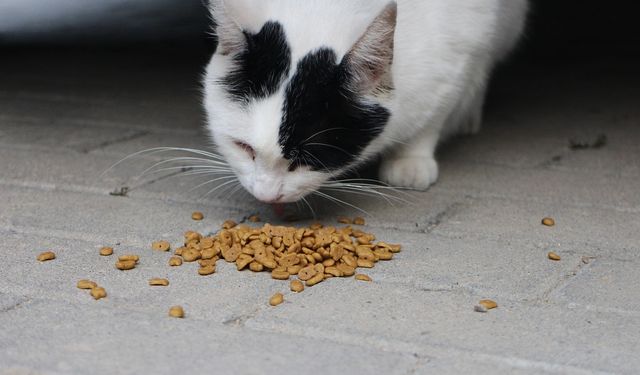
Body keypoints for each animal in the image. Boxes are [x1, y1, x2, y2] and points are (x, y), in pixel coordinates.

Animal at [202, 0, 528, 204]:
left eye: (306, 160)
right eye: (243, 148)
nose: (266, 196)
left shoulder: (462, 48)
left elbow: (434, 114)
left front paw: (411, 159)